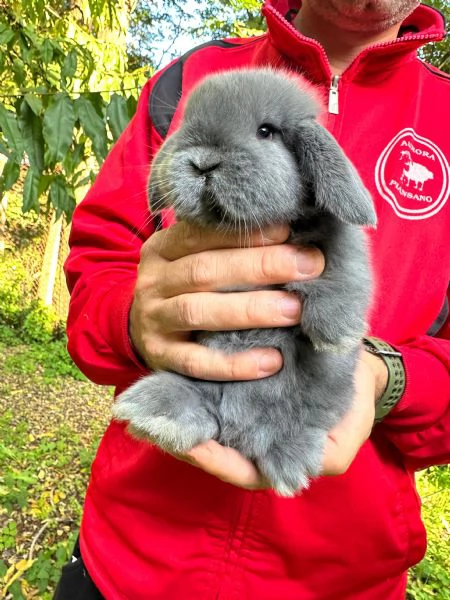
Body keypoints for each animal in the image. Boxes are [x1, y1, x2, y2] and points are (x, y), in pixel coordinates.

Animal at [113, 67, 376, 496]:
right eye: (187, 124)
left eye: (266, 131)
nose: (203, 163)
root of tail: (238, 430)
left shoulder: (340, 243)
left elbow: (343, 269)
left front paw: (336, 335)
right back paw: (156, 415)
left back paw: (288, 461)